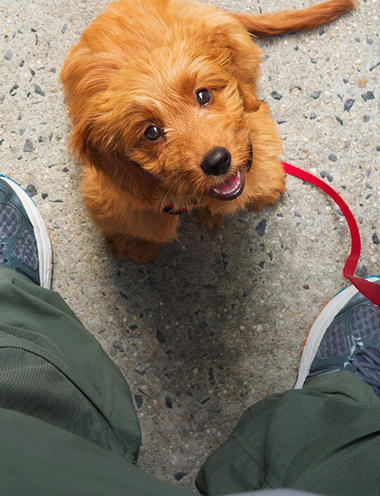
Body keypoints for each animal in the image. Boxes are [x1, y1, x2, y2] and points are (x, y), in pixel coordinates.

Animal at [60, 0, 356, 264]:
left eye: (203, 95)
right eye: (151, 132)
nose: (217, 162)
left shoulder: (254, 127)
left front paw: (264, 187)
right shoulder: (115, 194)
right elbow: (137, 222)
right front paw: (135, 244)